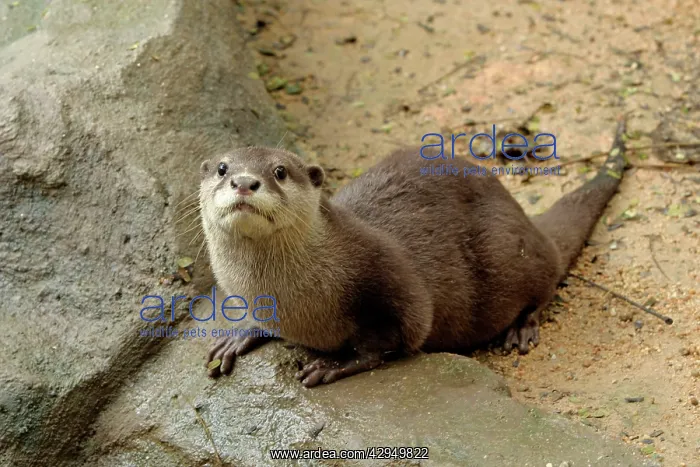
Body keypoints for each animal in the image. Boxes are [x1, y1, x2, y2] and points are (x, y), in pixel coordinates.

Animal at [199, 118, 628, 388]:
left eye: (280, 171)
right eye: (222, 168)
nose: (244, 182)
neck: (290, 298)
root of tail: (527, 222)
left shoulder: (390, 280)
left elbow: (390, 339)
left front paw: (333, 364)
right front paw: (242, 333)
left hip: (512, 253)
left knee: (545, 282)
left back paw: (521, 327)